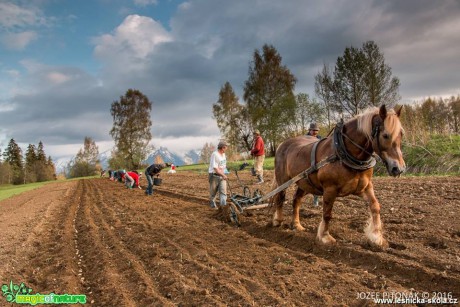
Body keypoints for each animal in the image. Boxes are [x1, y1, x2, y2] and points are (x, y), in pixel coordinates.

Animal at [272, 105, 404, 248]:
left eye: (401, 134)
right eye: (385, 135)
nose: (399, 168)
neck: (343, 152)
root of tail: (282, 144)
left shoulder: (365, 187)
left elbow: (375, 206)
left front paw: (376, 238)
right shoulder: (330, 189)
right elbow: (327, 213)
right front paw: (325, 237)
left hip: (304, 183)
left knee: (296, 200)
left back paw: (297, 225)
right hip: (282, 181)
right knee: (280, 198)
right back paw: (277, 220)